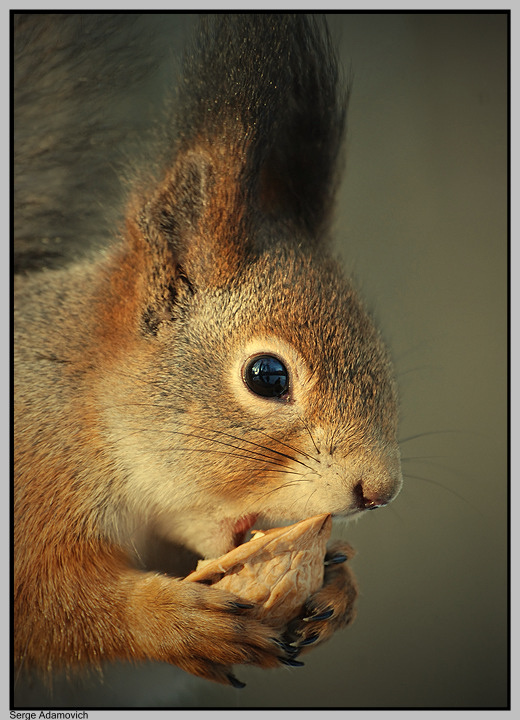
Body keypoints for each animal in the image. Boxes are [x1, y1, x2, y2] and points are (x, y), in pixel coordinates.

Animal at [13, 13, 403, 688]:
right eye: (267, 375)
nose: (380, 490)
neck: (89, 412)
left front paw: (339, 586)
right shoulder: (35, 483)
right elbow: (51, 602)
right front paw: (174, 620)